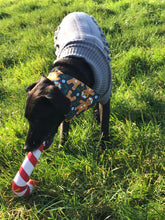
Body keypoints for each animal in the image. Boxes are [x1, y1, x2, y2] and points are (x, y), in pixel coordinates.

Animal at [23, 12, 113, 152]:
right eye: (27, 119)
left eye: (38, 119)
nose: (26, 148)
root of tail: (77, 12)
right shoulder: (66, 107)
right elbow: (64, 129)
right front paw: (62, 148)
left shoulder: (105, 96)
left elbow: (104, 125)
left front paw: (102, 147)